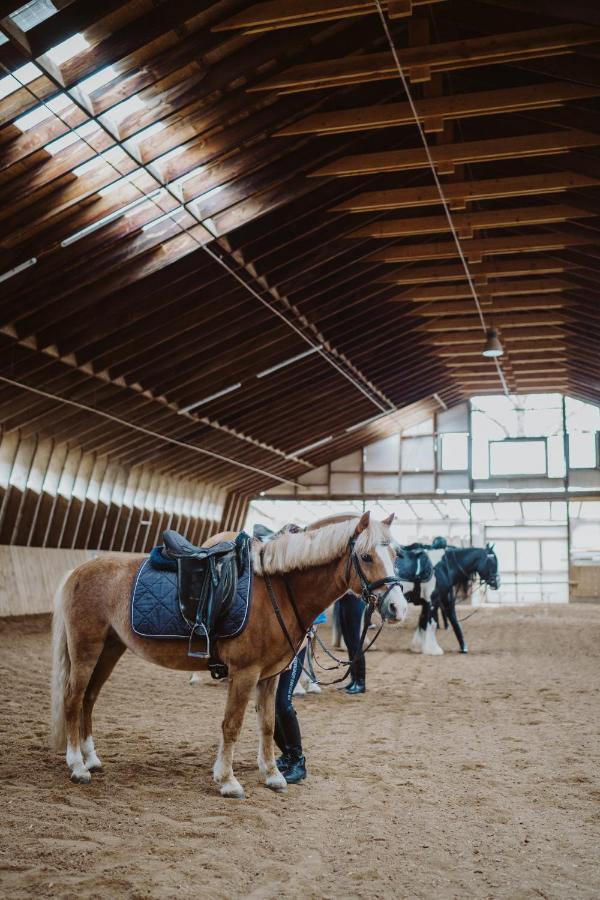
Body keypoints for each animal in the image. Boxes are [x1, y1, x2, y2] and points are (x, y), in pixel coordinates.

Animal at [51, 510, 408, 800]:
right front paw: (227, 781)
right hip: (86, 649)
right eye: (365, 556)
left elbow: (267, 723)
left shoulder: (269, 676)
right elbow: (232, 724)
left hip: (110, 648)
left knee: (89, 698)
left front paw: (273, 776)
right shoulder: (245, 672)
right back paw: (77, 766)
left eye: (394, 553)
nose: (397, 607)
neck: (279, 589)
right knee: (72, 698)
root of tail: (78, 570)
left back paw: (91, 759)